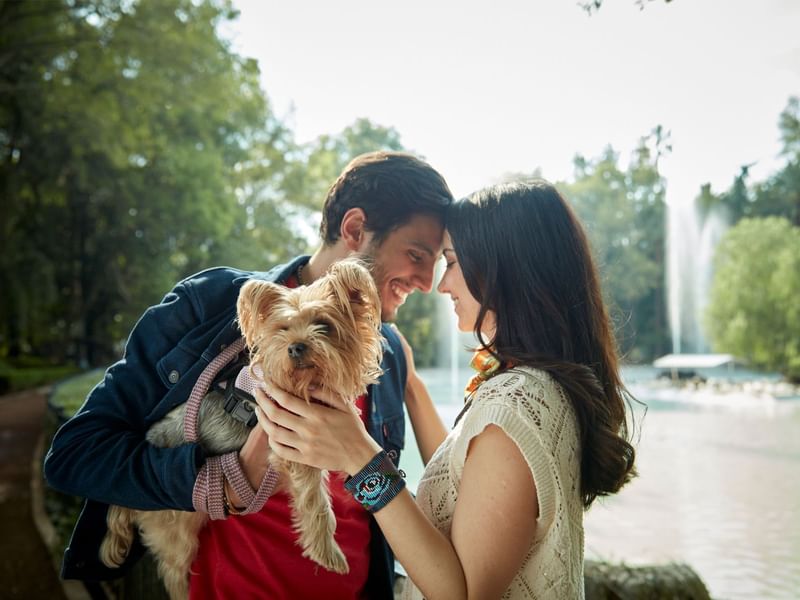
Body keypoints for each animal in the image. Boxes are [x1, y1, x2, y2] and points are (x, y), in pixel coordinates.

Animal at [98, 262, 382, 600]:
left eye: (323, 326)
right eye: (282, 329)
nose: (296, 347)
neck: (306, 387)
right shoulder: (295, 446)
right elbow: (317, 504)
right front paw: (328, 553)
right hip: (175, 525)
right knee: (173, 568)